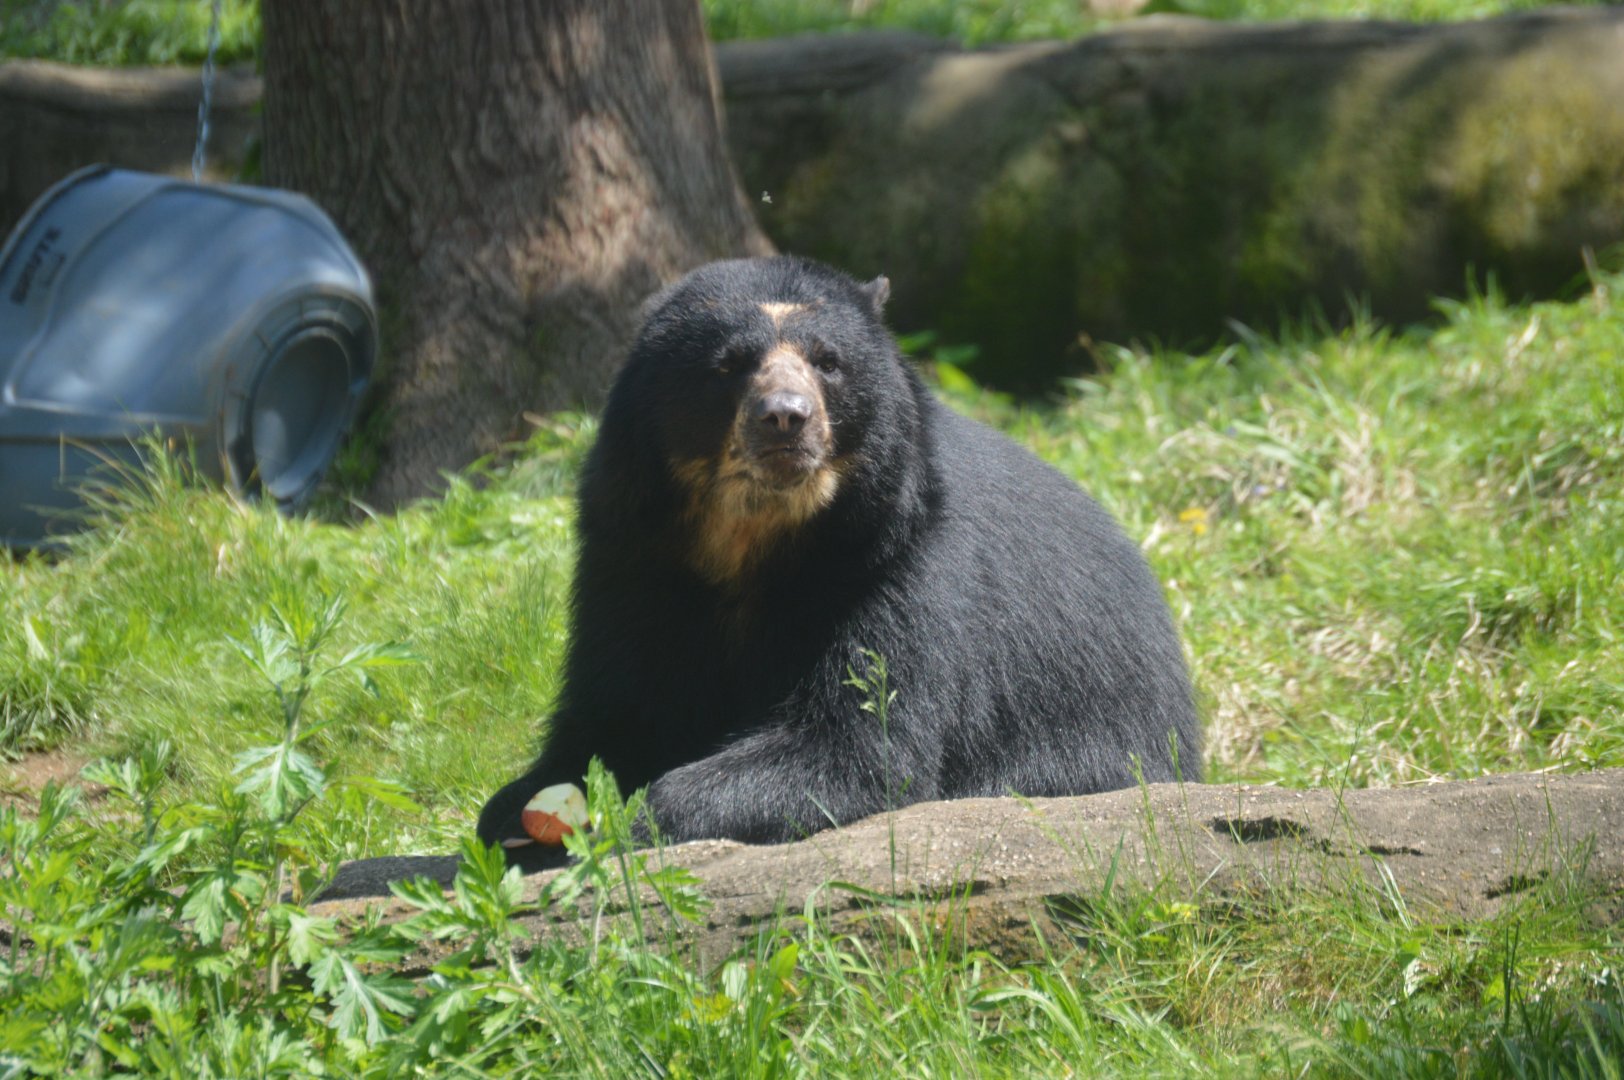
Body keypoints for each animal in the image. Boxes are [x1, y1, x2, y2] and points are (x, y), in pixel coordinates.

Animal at [477, 256, 1199, 852]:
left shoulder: (894, 561)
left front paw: (643, 819)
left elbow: (858, 741)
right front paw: (518, 809)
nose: (785, 417)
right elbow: (619, 705)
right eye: (729, 363)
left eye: (828, 360)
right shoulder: (634, 556)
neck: (754, 536)